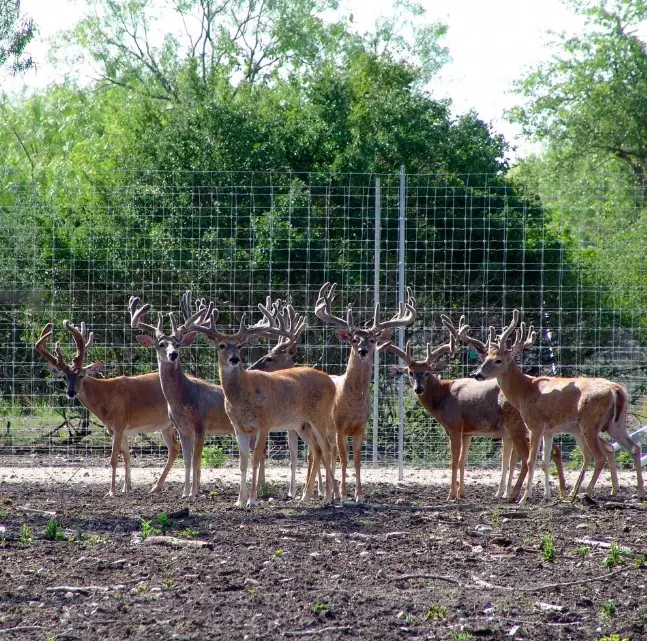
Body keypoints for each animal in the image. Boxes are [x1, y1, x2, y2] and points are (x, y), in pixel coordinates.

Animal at [34, 320, 178, 496]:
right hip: (165, 425)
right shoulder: (117, 430)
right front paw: (126, 488)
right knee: (175, 448)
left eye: (81, 375)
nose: (71, 392)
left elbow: (113, 459)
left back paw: (159, 486)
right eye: (64, 377)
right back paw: (158, 486)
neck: (105, 398)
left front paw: (112, 491)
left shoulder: (119, 425)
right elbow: (127, 457)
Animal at [181, 298, 334, 508]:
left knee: (327, 449)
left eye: (240, 346)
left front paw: (252, 500)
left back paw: (328, 497)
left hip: (320, 416)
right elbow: (243, 462)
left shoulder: (264, 423)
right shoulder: (239, 427)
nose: (234, 359)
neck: (244, 394)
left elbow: (256, 460)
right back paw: (306, 496)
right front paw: (239, 501)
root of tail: (331, 382)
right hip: (301, 424)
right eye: (221, 345)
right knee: (317, 450)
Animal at [312, 284, 416, 500]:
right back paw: (322, 492)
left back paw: (330, 492)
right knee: (316, 454)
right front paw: (344, 494)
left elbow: (358, 461)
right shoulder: (339, 426)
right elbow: (345, 459)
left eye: (372, 339)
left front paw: (358, 494)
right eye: (353, 339)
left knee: (328, 454)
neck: (353, 402)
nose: (362, 351)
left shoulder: (361, 428)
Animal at [468, 310, 644, 504]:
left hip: (589, 423)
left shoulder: (535, 424)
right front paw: (544, 496)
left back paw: (586, 493)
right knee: (634, 447)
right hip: (615, 424)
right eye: (486, 358)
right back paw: (638, 493)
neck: (524, 391)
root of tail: (615, 388)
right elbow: (544, 462)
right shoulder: (548, 430)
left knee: (599, 456)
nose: (477, 374)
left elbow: (530, 460)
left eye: (498, 360)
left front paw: (524, 498)